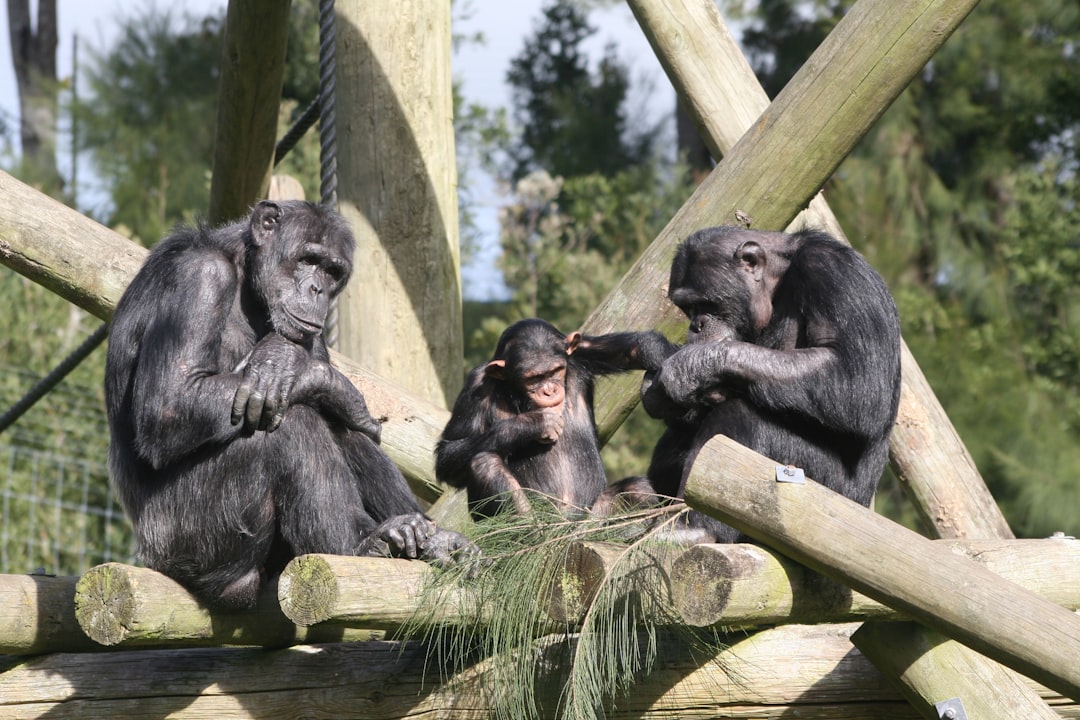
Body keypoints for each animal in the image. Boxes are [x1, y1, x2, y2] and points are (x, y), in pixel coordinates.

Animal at [107, 199, 475, 613]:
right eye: (308, 259)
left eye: (333, 271)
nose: (317, 289)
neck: (245, 275)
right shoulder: (199, 278)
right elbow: (169, 405)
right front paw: (304, 370)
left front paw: (294, 365)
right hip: (189, 537)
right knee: (292, 423)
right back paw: (360, 544)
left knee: (333, 424)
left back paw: (428, 537)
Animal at [434, 319, 660, 518]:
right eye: (533, 378)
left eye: (556, 370)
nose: (549, 390)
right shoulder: (476, 384)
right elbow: (448, 452)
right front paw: (533, 424)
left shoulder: (579, 353)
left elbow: (630, 349)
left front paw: (661, 363)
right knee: (485, 464)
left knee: (639, 488)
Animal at [591, 225, 902, 539]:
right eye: (687, 308)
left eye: (707, 303)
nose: (696, 324)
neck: (779, 281)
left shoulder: (833, 273)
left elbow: (858, 379)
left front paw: (689, 365)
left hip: (823, 494)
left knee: (740, 415)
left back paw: (695, 527)